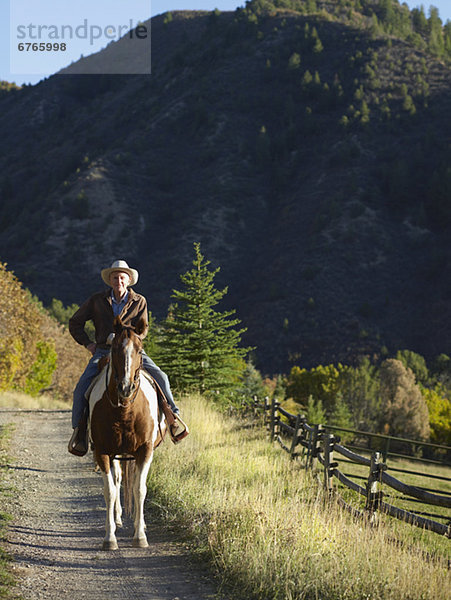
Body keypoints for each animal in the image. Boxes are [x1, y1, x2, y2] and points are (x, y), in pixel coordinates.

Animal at [88, 316, 166, 552]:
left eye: (139, 350)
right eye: (114, 348)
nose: (125, 387)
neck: (124, 410)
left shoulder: (145, 450)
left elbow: (140, 489)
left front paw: (140, 536)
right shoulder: (103, 451)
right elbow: (110, 490)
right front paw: (110, 537)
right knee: (117, 480)